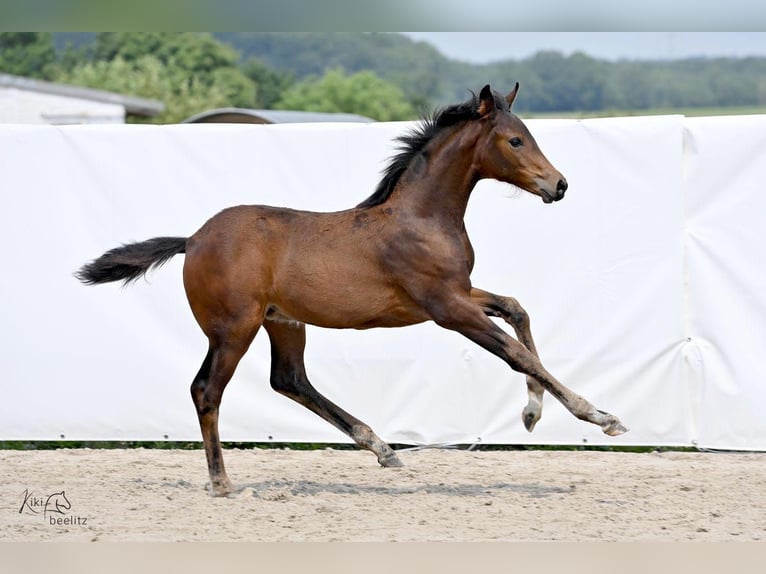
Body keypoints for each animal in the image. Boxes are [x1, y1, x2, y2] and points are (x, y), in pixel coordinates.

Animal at [78, 84, 632, 500]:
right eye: (516, 141)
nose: (559, 185)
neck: (422, 218)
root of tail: (193, 239)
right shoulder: (448, 307)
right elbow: (516, 353)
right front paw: (600, 416)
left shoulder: (459, 294)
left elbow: (517, 311)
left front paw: (533, 414)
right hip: (234, 328)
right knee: (207, 390)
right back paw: (221, 482)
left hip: (284, 322)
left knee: (290, 380)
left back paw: (382, 448)